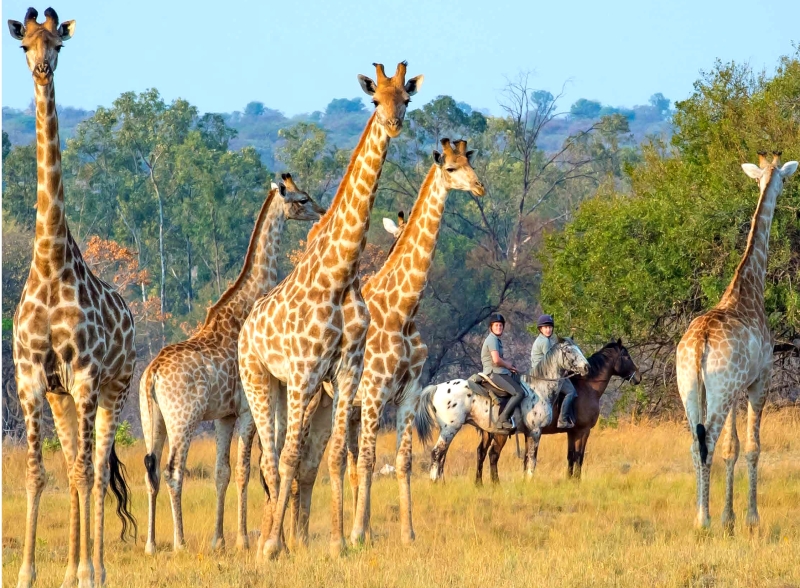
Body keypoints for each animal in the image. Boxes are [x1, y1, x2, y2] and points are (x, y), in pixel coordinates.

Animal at [414, 338, 590, 482]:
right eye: (569, 351)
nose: (586, 367)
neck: (539, 388)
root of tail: (436, 387)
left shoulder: (528, 432)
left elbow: (527, 459)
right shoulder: (535, 431)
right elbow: (532, 459)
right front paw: (530, 482)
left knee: (442, 456)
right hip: (450, 428)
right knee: (437, 453)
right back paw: (435, 483)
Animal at [477, 339, 641, 484]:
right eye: (627, 357)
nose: (638, 377)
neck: (588, 387)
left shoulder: (572, 432)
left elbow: (570, 456)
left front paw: (569, 480)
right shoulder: (583, 430)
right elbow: (579, 456)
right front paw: (576, 481)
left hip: (487, 433)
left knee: (481, 452)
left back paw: (480, 482)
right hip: (500, 434)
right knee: (493, 454)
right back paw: (495, 483)